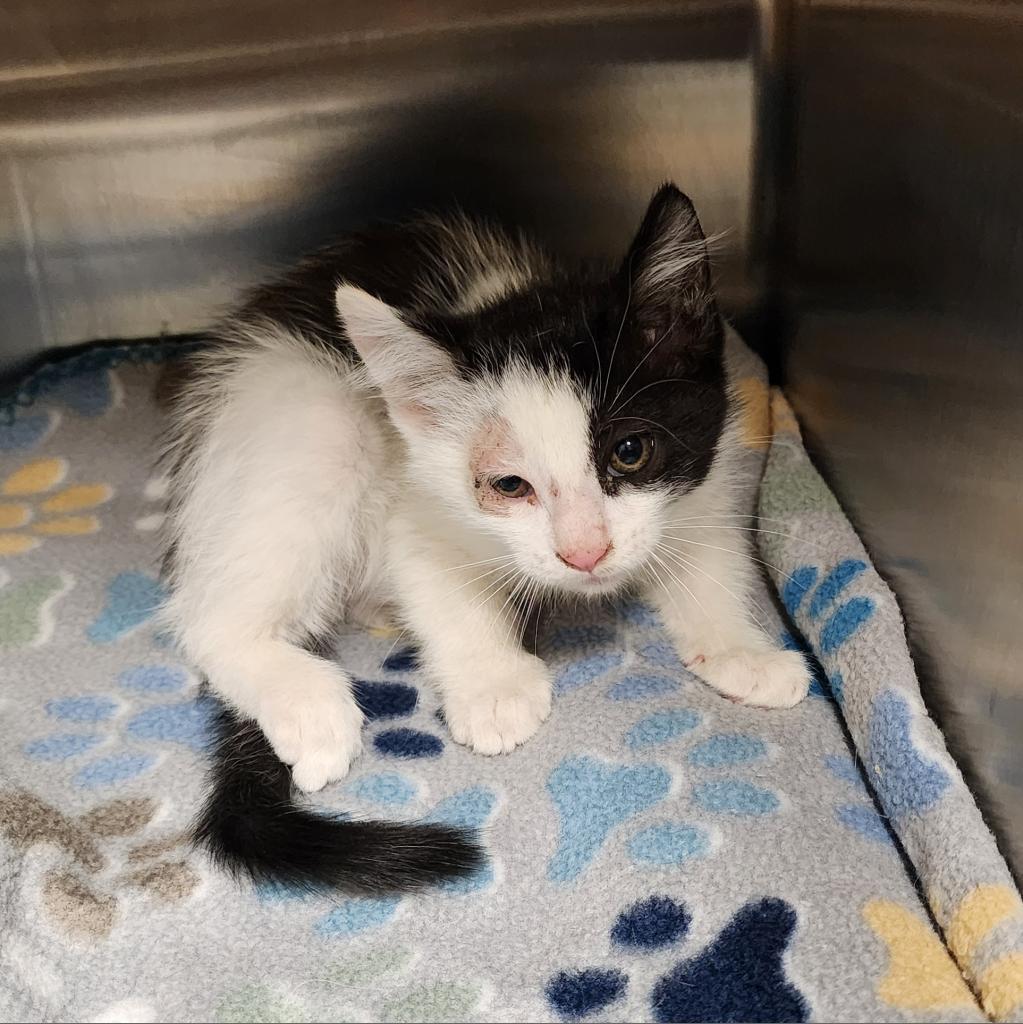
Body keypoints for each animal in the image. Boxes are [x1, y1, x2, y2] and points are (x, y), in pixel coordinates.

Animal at [159, 184, 811, 897]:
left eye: (630, 451)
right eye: (509, 485)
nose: (586, 552)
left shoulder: (707, 471)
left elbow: (705, 551)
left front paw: (741, 649)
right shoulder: (413, 503)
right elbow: (440, 586)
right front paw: (494, 687)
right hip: (314, 423)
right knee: (211, 621)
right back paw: (312, 708)